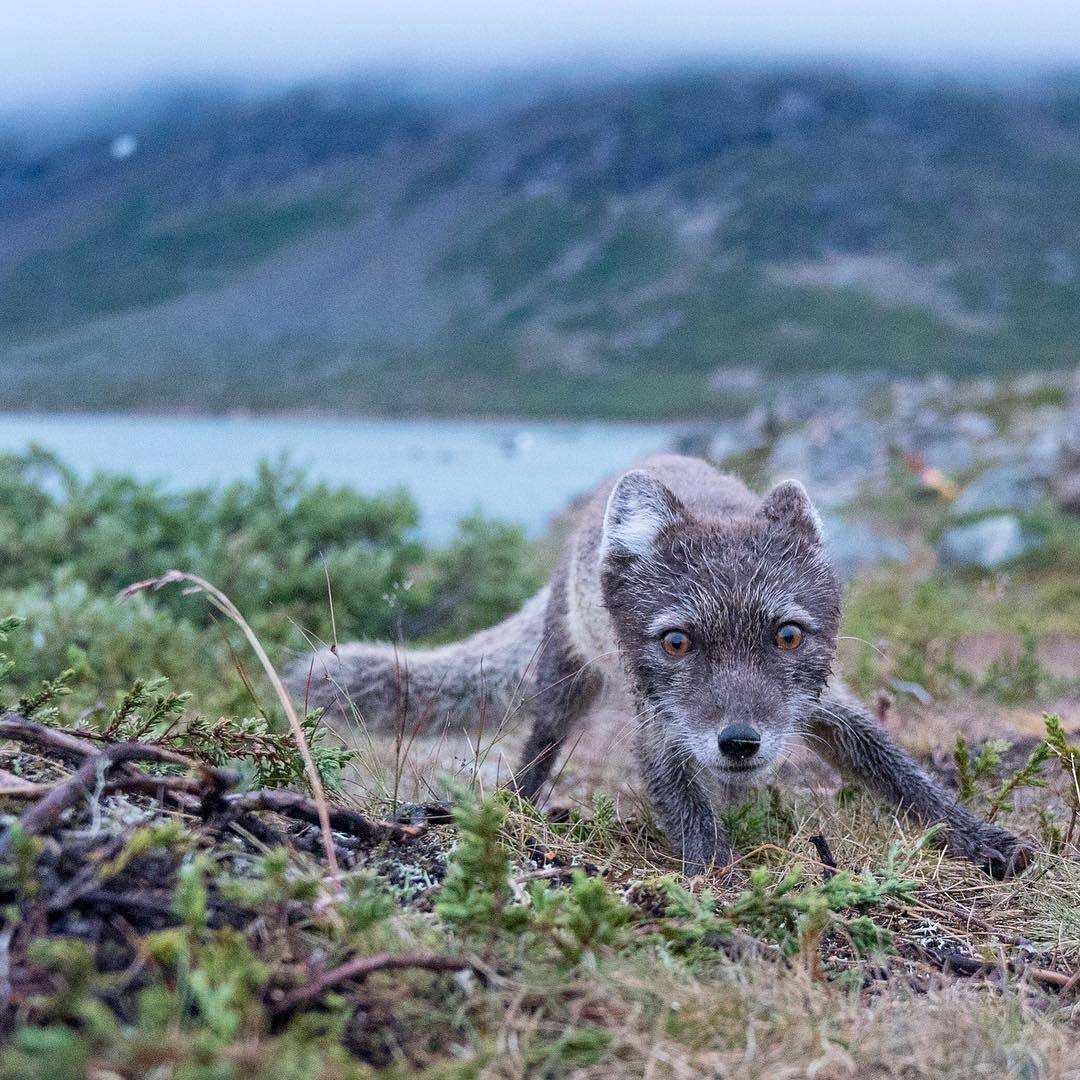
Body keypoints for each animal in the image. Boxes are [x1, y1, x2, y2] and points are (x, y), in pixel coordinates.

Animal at [287, 453, 1028, 876]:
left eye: (788, 636)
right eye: (676, 643)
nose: (739, 743)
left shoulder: (824, 707)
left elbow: (904, 777)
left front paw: (979, 838)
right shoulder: (659, 725)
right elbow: (687, 809)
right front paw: (723, 881)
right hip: (565, 680)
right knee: (539, 747)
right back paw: (520, 808)